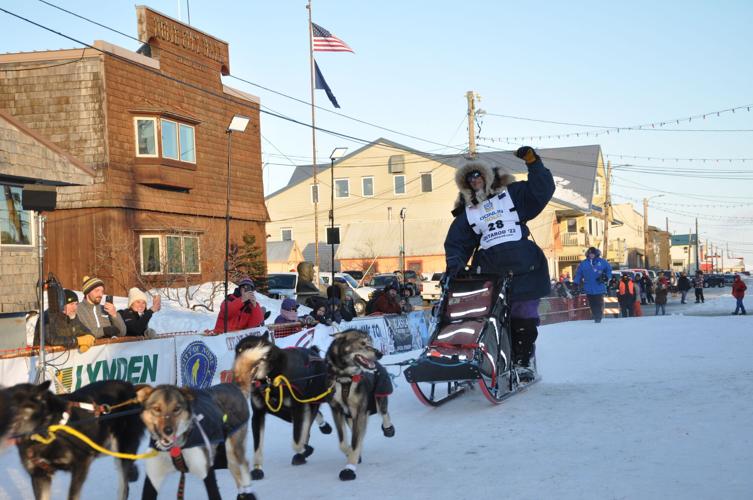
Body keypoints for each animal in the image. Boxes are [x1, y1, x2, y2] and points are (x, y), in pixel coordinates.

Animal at [232, 334, 332, 478]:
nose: (237, 369)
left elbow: (297, 440)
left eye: (251, 350)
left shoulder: (299, 408)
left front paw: (304, 450)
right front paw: (257, 469)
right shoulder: (258, 415)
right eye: (238, 351)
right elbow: (258, 446)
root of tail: (313, 351)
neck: (270, 379)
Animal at [326, 328, 396, 480]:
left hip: (379, 396)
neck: (345, 378)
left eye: (371, 342)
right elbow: (344, 442)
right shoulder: (337, 410)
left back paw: (388, 429)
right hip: (350, 416)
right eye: (363, 343)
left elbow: (355, 441)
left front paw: (349, 468)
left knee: (384, 412)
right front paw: (351, 454)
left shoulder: (359, 411)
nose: (379, 354)